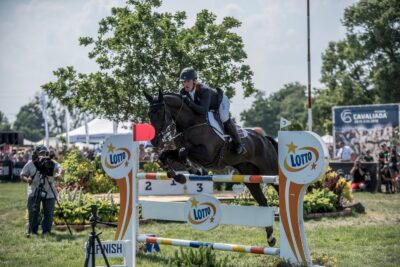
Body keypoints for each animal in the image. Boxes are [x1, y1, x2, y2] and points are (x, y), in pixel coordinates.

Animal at [144, 90, 278, 247]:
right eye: (149, 113)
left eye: (159, 112)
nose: (155, 141)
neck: (190, 124)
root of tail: (265, 139)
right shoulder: (178, 151)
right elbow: (165, 155)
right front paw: (179, 177)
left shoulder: (207, 154)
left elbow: (184, 152)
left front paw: (195, 170)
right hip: (250, 177)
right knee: (263, 202)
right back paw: (270, 238)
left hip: (270, 172)